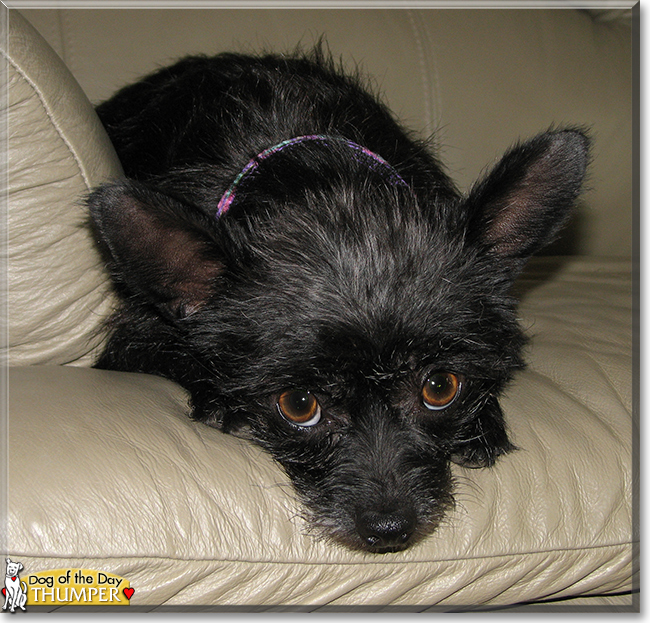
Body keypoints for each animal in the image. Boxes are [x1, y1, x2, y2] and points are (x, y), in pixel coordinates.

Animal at [88, 50, 588, 556]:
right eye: (298, 405)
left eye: (441, 387)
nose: (388, 529)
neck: (322, 179)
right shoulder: (132, 338)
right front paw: (222, 402)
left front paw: (484, 422)